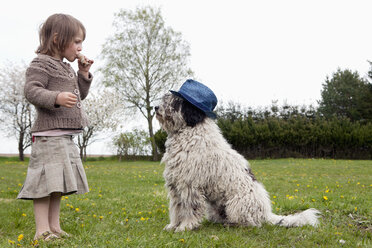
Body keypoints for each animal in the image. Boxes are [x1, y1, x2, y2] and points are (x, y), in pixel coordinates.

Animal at [155, 80, 322, 232]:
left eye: (177, 102)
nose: (156, 107)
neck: (190, 132)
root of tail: (267, 214)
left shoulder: (189, 185)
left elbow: (189, 209)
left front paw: (185, 226)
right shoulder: (175, 185)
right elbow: (176, 209)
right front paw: (173, 226)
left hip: (236, 204)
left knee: (251, 223)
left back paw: (231, 225)